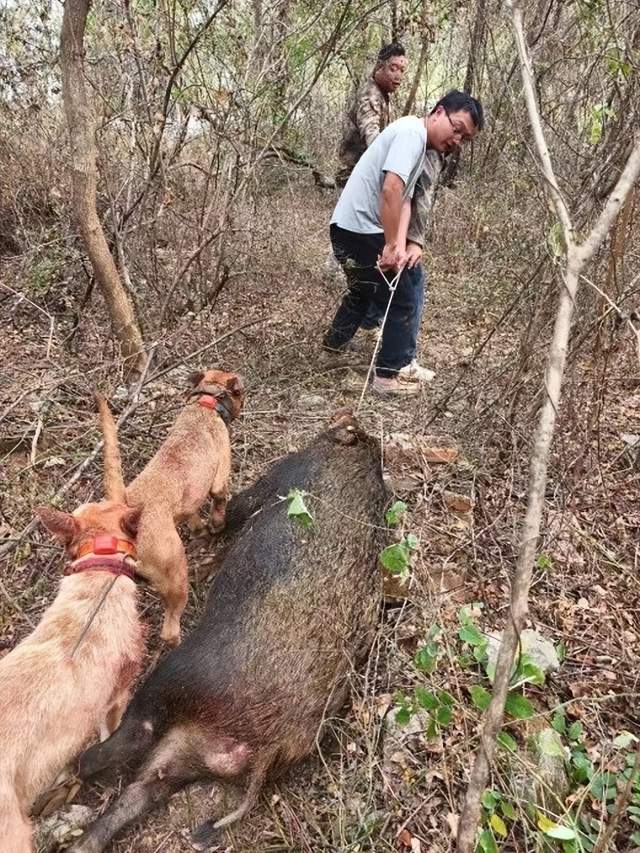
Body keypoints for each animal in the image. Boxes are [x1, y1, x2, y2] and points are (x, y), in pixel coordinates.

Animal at [125, 368, 245, 644]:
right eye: (241, 391)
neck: (207, 402)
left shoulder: (190, 503)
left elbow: (194, 518)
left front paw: (201, 531)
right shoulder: (219, 478)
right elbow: (219, 505)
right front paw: (217, 525)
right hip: (176, 577)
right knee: (170, 629)